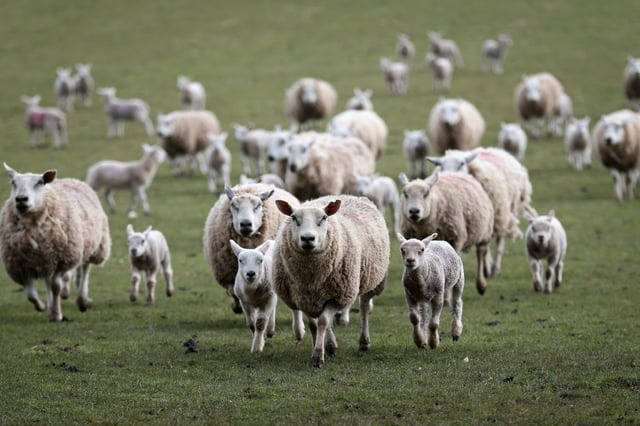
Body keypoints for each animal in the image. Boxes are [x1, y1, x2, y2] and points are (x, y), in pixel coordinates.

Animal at [0, 163, 111, 321]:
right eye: (13, 183)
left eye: (39, 182)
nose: (21, 199)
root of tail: (68, 179)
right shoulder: (20, 265)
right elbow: (30, 294)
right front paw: (42, 306)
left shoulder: (63, 260)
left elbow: (56, 286)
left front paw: (57, 314)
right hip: (47, 258)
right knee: (48, 281)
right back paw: (50, 307)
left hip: (92, 246)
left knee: (84, 269)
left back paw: (82, 300)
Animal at [272, 195, 389, 368]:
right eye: (293, 217)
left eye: (323, 218)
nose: (308, 238)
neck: (311, 277)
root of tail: (350, 196)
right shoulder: (303, 297)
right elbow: (313, 325)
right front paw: (321, 346)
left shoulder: (337, 297)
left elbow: (322, 322)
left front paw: (318, 356)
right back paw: (330, 344)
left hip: (370, 280)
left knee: (364, 308)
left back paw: (364, 342)